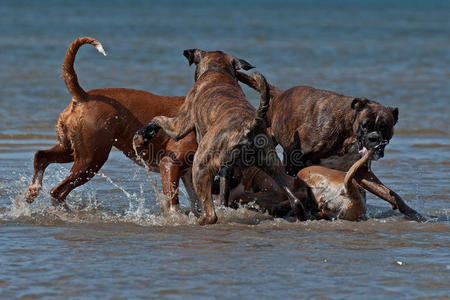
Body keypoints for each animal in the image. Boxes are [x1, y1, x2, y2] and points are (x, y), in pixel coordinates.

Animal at [25, 37, 199, 211]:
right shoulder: (170, 164)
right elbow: (173, 202)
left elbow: (197, 202)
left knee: (41, 156)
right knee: (58, 191)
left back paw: (35, 189)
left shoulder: (188, 173)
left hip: (71, 150)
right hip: (91, 160)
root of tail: (83, 96)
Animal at [134, 49, 310, 224]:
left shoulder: (179, 125)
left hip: (200, 167)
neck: (218, 70)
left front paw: (143, 134)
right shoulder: (227, 169)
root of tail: (249, 125)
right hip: (273, 166)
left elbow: (158, 118)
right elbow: (224, 194)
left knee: (210, 214)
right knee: (295, 201)